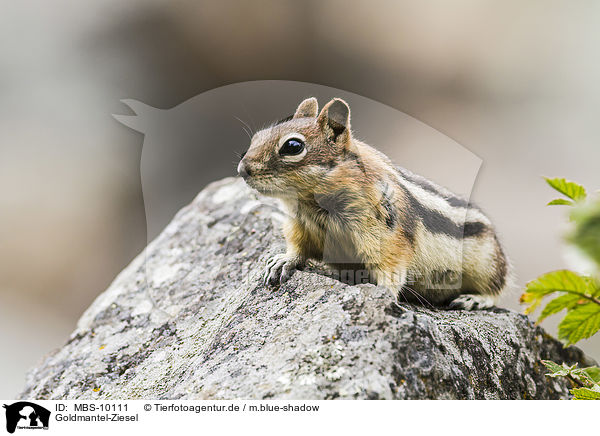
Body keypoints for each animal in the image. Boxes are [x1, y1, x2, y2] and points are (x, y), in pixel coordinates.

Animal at [237, 98, 508, 310]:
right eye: (257, 136)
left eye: (293, 146)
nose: (242, 169)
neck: (310, 203)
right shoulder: (300, 227)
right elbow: (298, 249)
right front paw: (283, 261)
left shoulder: (387, 237)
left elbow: (391, 268)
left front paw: (384, 293)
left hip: (486, 264)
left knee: (497, 288)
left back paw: (475, 299)